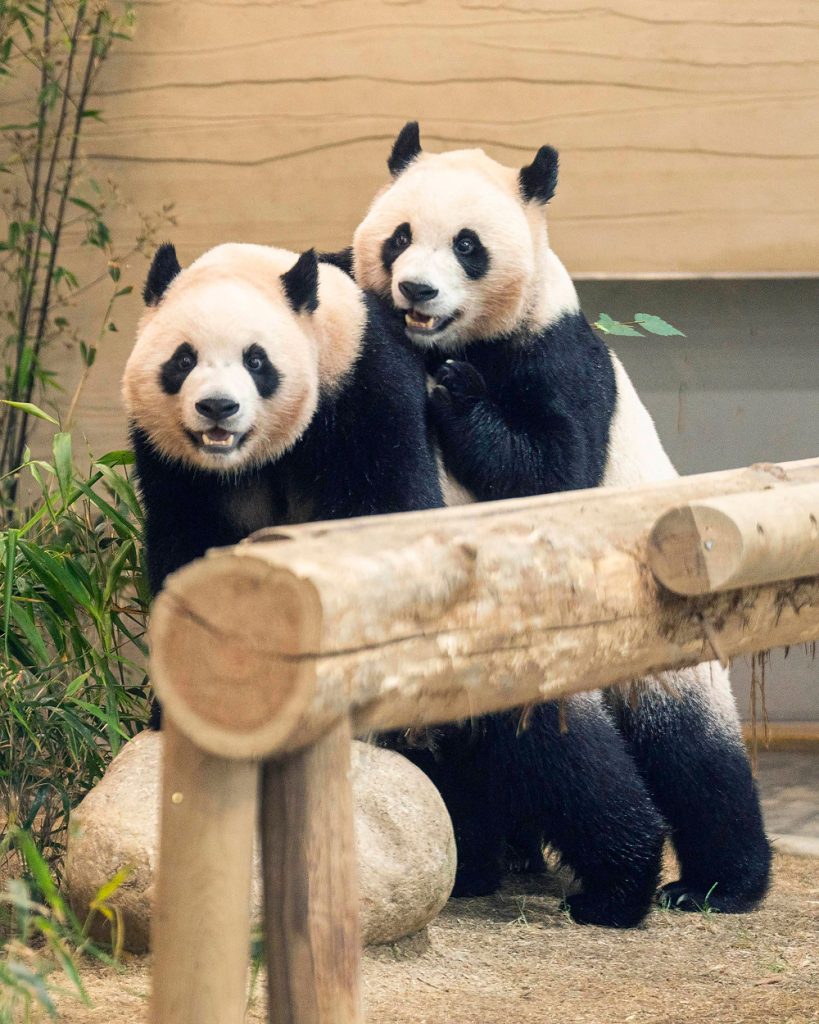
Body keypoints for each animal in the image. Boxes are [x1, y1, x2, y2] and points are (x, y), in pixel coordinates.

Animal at [348, 121, 772, 915]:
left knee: (691, 752)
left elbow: (552, 467)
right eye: (399, 236)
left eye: (467, 245)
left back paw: (718, 882)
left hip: (654, 640)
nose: (416, 290)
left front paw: (452, 389)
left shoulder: (559, 356)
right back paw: (498, 859)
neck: (464, 337)